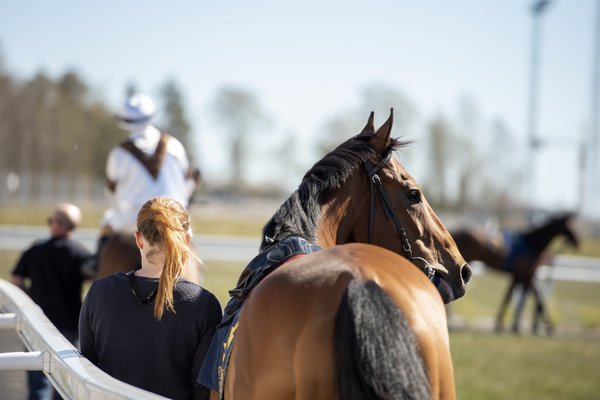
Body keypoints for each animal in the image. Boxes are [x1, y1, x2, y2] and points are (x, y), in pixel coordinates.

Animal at [452, 214, 580, 336]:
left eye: (574, 224)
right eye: (569, 225)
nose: (577, 241)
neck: (531, 244)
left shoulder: (519, 276)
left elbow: (509, 297)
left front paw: (506, 325)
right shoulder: (527, 275)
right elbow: (538, 298)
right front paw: (549, 328)